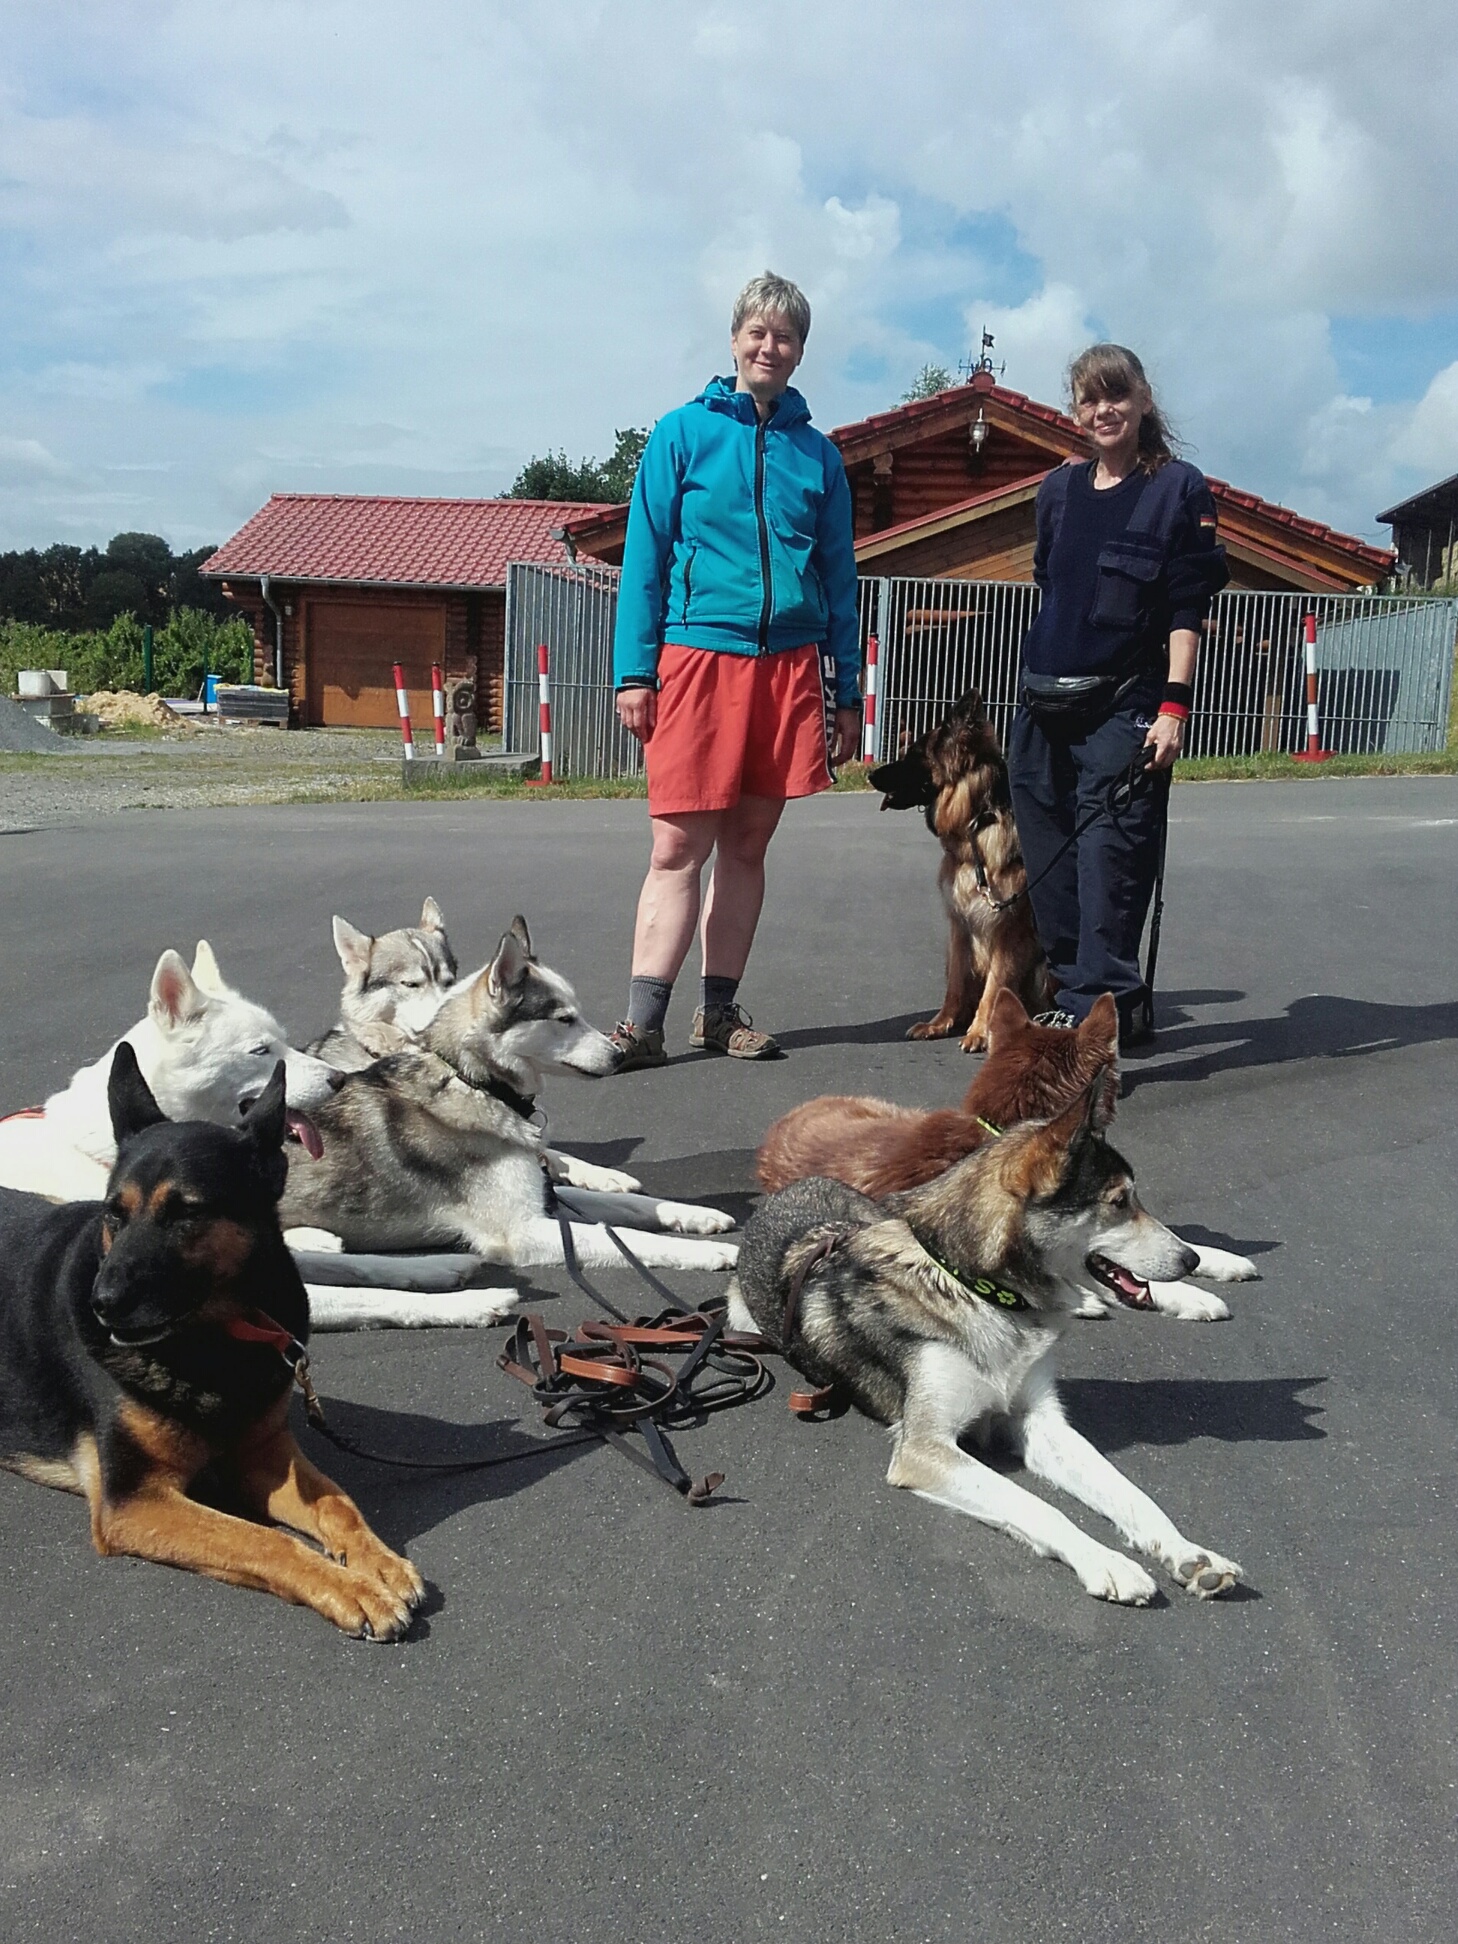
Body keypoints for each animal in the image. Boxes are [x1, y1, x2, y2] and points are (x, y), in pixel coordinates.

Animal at [730, 1080, 1244, 1609]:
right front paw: (1107, 1562)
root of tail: (788, 1188)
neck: (980, 1290)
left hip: (871, 1213)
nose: (1190, 1257)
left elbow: (1129, 1493)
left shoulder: (1040, 1421)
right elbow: (1038, 1506)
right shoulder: (924, 1448)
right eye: (1119, 1202)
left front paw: (1189, 1553)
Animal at [754, 987, 1259, 1321]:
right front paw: (1190, 1294)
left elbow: (1156, 1240)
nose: (1190, 1265)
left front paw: (1213, 1258)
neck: (996, 1130)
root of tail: (784, 1120)